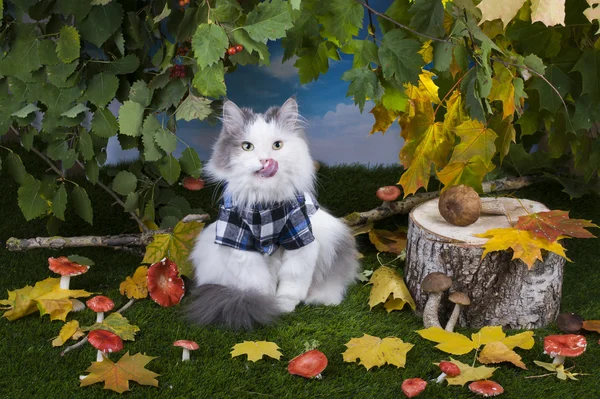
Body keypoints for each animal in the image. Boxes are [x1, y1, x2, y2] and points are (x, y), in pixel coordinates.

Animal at [188, 98, 358, 330]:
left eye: (277, 145)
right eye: (247, 146)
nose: (265, 160)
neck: (265, 208)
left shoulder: (300, 238)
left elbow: (292, 282)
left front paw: (283, 305)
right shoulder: (239, 242)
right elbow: (258, 282)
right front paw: (265, 304)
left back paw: (321, 298)